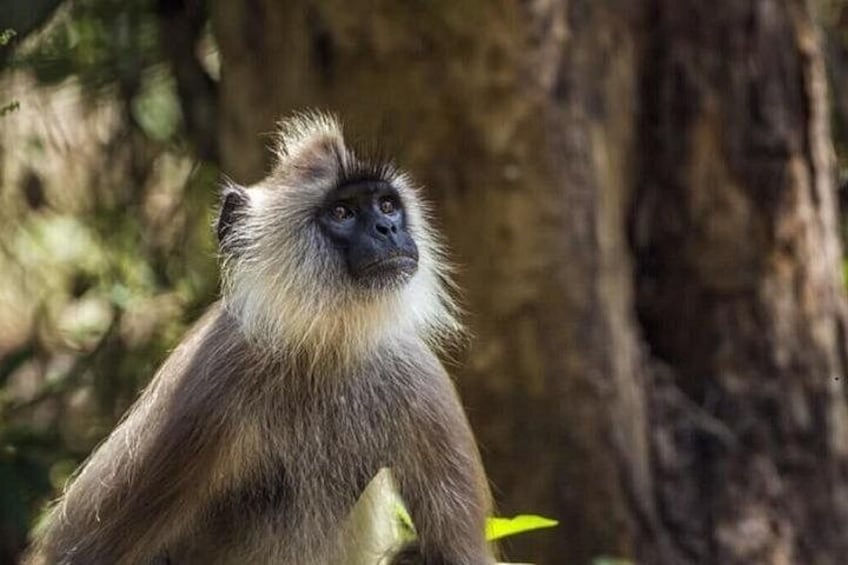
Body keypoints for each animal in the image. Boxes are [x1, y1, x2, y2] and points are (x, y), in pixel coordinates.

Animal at [29, 112, 495, 565]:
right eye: (342, 212)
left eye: (386, 205)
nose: (387, 228)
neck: (324, 348)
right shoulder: (211, 380)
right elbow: (79, 548)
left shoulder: (419, 377)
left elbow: (457, 554)